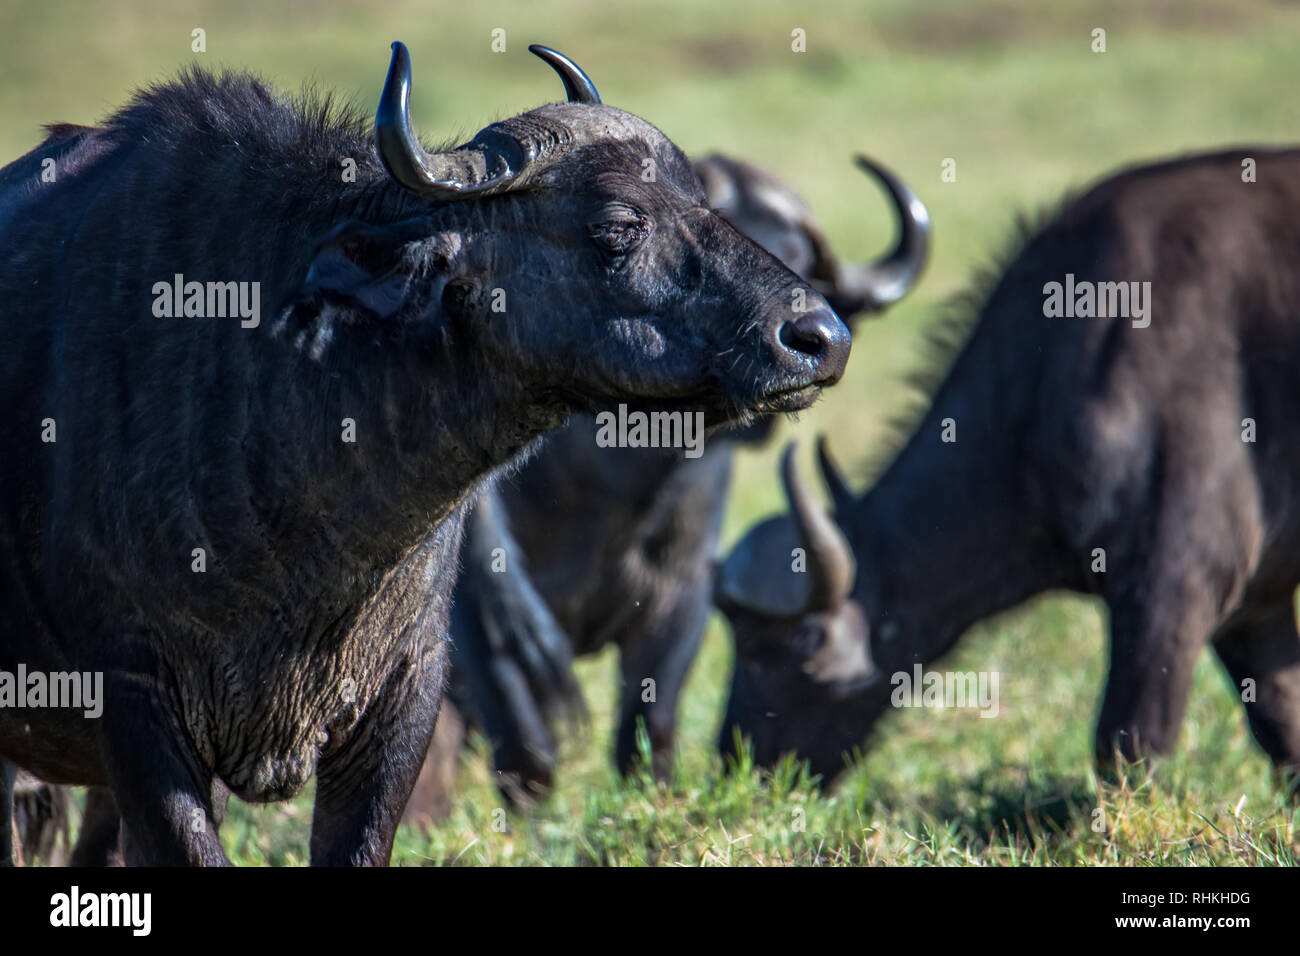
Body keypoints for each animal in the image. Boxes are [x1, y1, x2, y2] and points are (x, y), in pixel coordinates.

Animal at [712, 149, 1300, 790]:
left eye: (803, 641)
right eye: (735, 636)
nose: (741, 761)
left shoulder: (1175, 586)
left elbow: (1129, 742)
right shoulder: (1257, 605)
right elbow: (1283, 725)